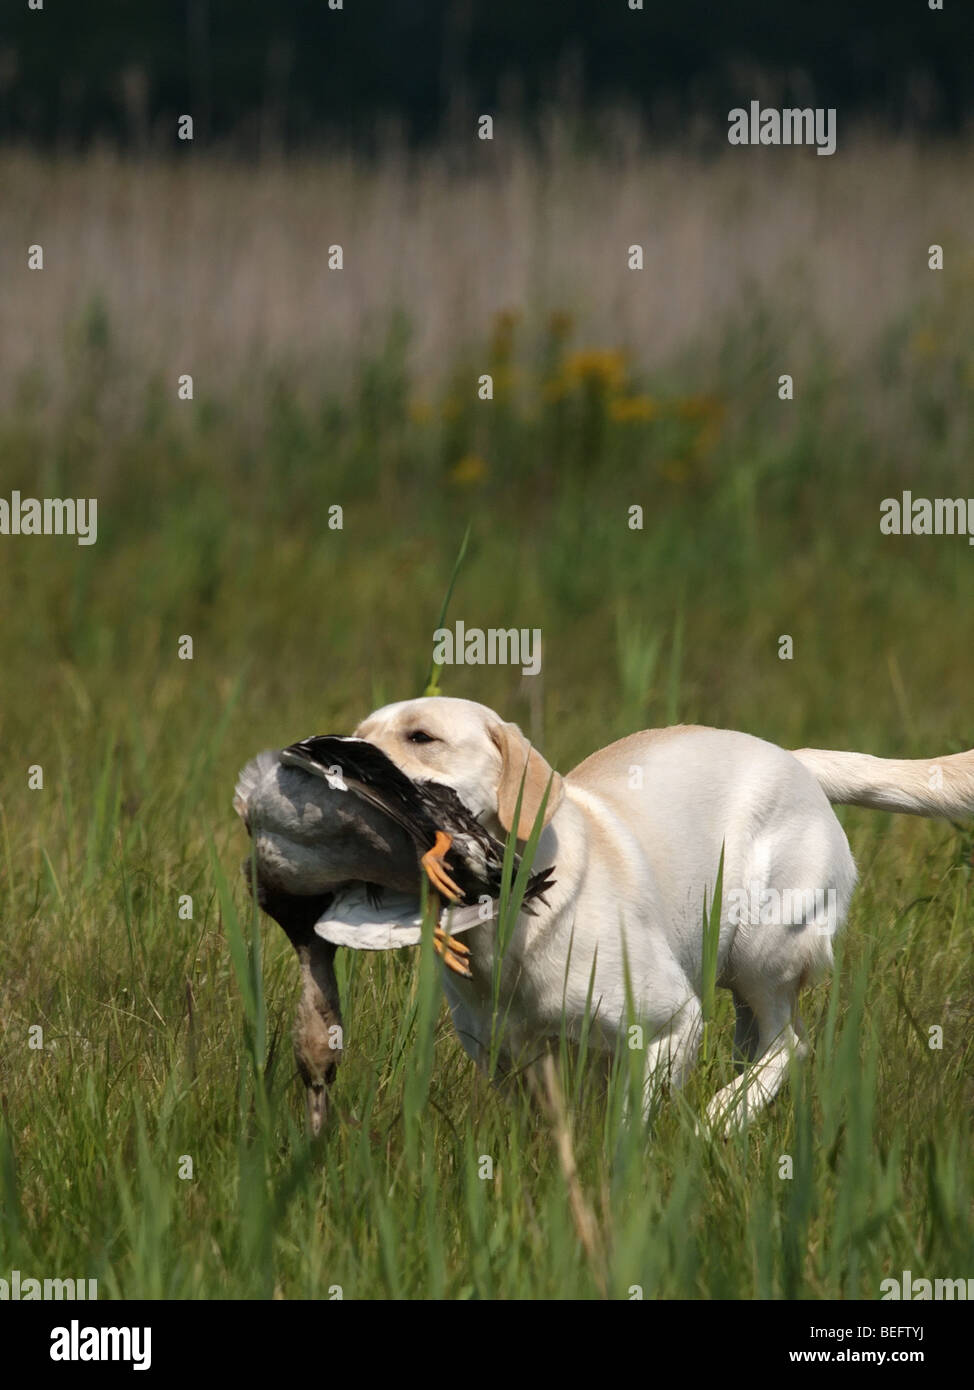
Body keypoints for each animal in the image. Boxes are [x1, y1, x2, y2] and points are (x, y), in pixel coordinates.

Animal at [352, 695, 967, 1128]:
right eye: (359, 736)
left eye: (422, 736)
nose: (339, 757)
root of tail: (796, 759)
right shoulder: (509, 1062)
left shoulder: (671, 1022)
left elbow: (630, 1124)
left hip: (763, 948)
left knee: (790, 1045)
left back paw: (723, 1117)